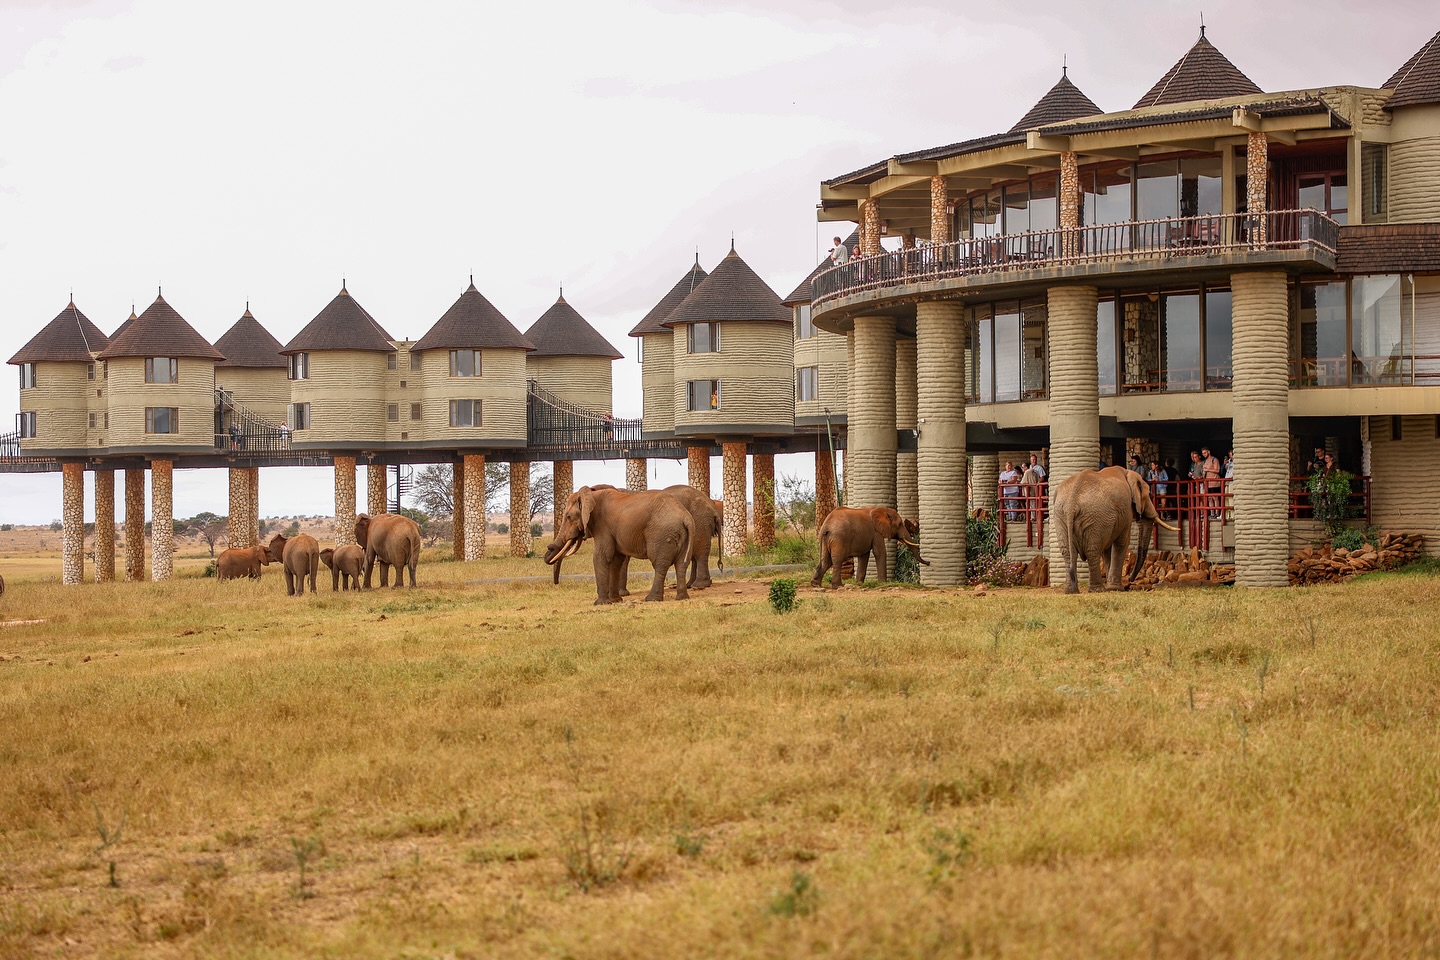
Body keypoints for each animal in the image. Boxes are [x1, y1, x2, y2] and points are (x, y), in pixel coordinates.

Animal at [549, 484, 721, 592]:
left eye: (569, 517)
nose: (550, 548)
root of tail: (712, 507)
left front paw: (620, 594)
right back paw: (691, 585)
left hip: (699, 520)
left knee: (699, 553)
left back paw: (699, 585)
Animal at [1050, 465, 1180, 594]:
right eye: (1148, 495)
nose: (1131, 579)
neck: (1128, 473)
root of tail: (1072, 501)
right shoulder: (1125, 511)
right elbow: (1122, 543)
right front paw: (1116, 589)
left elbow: (1107, 549)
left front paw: (1111, 587)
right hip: (1094, 516)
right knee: (1092, 551)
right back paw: (1097, 590)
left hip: (1061, 516)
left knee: (1067, 552)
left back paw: (1071, 591)